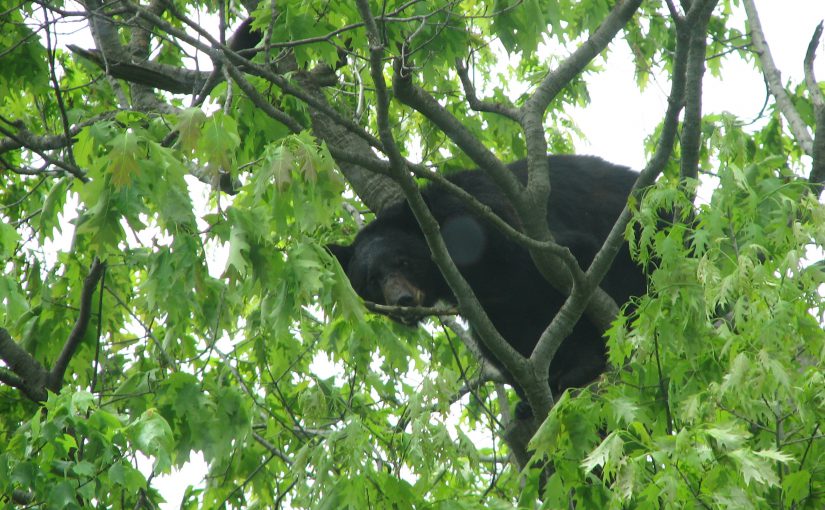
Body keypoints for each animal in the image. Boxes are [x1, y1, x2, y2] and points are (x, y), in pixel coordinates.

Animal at [328, 155, 644, 398]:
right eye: (371, 280)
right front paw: (529, 391)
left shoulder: (500, 226)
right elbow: (503, 331)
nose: (402, 301)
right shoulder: (488, 297)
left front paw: (583, 364)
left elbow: (576, 272)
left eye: (403, 261)